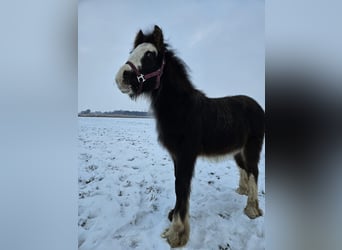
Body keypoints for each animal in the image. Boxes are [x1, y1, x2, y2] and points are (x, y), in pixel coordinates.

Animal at [115, 25, 264, 248]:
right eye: (132, 52)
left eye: (150, 55)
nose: (120, 78)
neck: (182, 110)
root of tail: (257, 106)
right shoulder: (176, 157)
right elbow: (178, 185)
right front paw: (173, 217)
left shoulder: (186, 156)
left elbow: (182, 187)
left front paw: (176, 233)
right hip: (237, 151)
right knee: (245, 170)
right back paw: (242, 192)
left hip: (252, 148)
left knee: (254, 171)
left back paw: (252, 209)